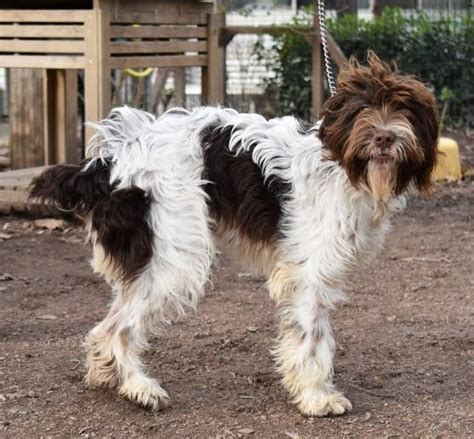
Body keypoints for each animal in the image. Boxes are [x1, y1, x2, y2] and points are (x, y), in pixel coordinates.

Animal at [28, 53, 436, 418]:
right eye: (362, 107)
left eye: (405, 110)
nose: (385, 137)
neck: (340, 166)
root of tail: (109, 160)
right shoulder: (309, 276)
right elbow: (312, 340)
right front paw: (317, 396)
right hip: (176, 258)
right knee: (121, 328)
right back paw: (138, 387)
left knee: (107, 324)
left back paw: (105, 372)